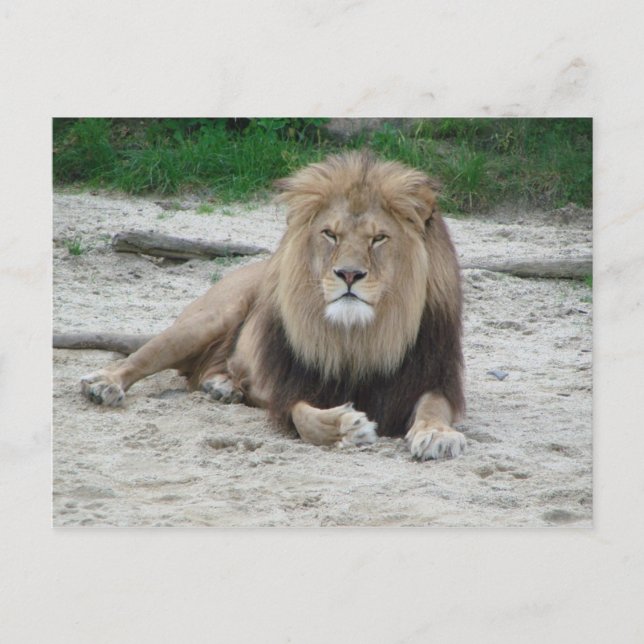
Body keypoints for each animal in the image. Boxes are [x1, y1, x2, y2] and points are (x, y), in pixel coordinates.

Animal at [81, 151, 466, 460]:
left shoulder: (434, 376)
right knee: (144, 356)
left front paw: (436, 435)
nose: (348, 274)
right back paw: (104, 383)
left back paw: (222, 386)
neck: (360, 337)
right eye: (330, 234)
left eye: (379, 238)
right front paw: (347, 426)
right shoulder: (291, 385)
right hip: (210, 318)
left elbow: (434, 407)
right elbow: (303, 418)